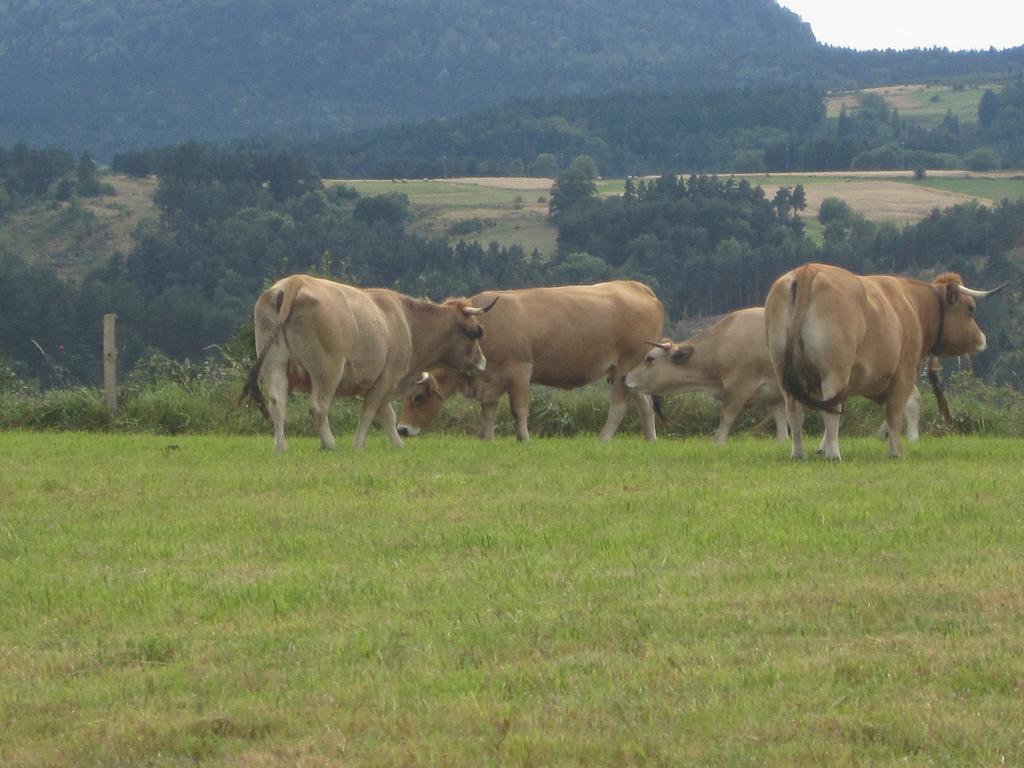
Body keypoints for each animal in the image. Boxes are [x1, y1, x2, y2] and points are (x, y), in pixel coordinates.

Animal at [239, 276, 495, 454]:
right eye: (476, 331)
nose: (483, 362)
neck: (407, 321)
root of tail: (295, 281)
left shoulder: (381, 384)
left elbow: (387, 415)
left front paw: (398, 444)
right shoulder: (386, 379)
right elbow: (370, 412)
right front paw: (358, 445)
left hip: (274, 365)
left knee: (277, 404)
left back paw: (281, 447)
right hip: (328, 370)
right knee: (318, 406)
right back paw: (329, 444)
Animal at [391, 280, 663, 442]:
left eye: (417, 397)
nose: (402, 429)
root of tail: (636, 287)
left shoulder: (519, 371)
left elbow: (518, 409)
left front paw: (524, 439)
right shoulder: (491, 380)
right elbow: (488, 410)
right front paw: (486, 438)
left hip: (626, 365)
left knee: (619, 406)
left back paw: (603, 439)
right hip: (630, 372)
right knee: (645, 404)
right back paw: (650, 439)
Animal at [618, 307, 925, 444]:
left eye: (649, 358)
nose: (626, 378)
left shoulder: (739, 387)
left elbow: (726, 417)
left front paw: (718, 442)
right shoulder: (774, 396)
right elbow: (780, 422)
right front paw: (782, 442)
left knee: (909, 401)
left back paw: (910, 437)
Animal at [765, 262, 1003, 460]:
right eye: (971, 308)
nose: (982, 338)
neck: (911, 304)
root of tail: (808, 270)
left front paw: (821, 447)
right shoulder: (904, 372)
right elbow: (897, 410)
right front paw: (896, 451)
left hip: (784, 371)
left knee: (795, 411)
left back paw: (799, 453)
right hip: (834, 372)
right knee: (831, 411)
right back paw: (834, 454)